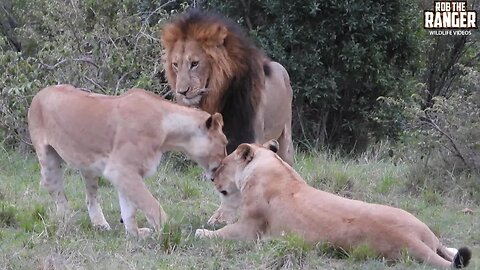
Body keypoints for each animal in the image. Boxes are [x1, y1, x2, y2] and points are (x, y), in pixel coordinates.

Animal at [28, 85, 227, 237]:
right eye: (225, 143)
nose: (223, 165)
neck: (168, 131)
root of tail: (41, 92)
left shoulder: (127, 172)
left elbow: (129, 208)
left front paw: (135, 234)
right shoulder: (121, 168)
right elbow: (150, 204)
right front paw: (171, 231)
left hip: (89, 167)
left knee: (90, 198)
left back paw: (100, 225)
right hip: (48, 160)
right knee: (58, 195)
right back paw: (66, 223)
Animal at [162, 10, 292, 165]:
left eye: (194, 63)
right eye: (175, 64)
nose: (182, 92)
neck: (219, 95)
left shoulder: (249, 135)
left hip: (285, 137)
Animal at [196, 141, 472, 268]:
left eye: (221, 165)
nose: (211, 178)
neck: (271, 166)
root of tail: (411, 238)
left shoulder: (250, 229)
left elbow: (219, 234)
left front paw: (201, 231)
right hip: (425, 230)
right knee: (446, 249)